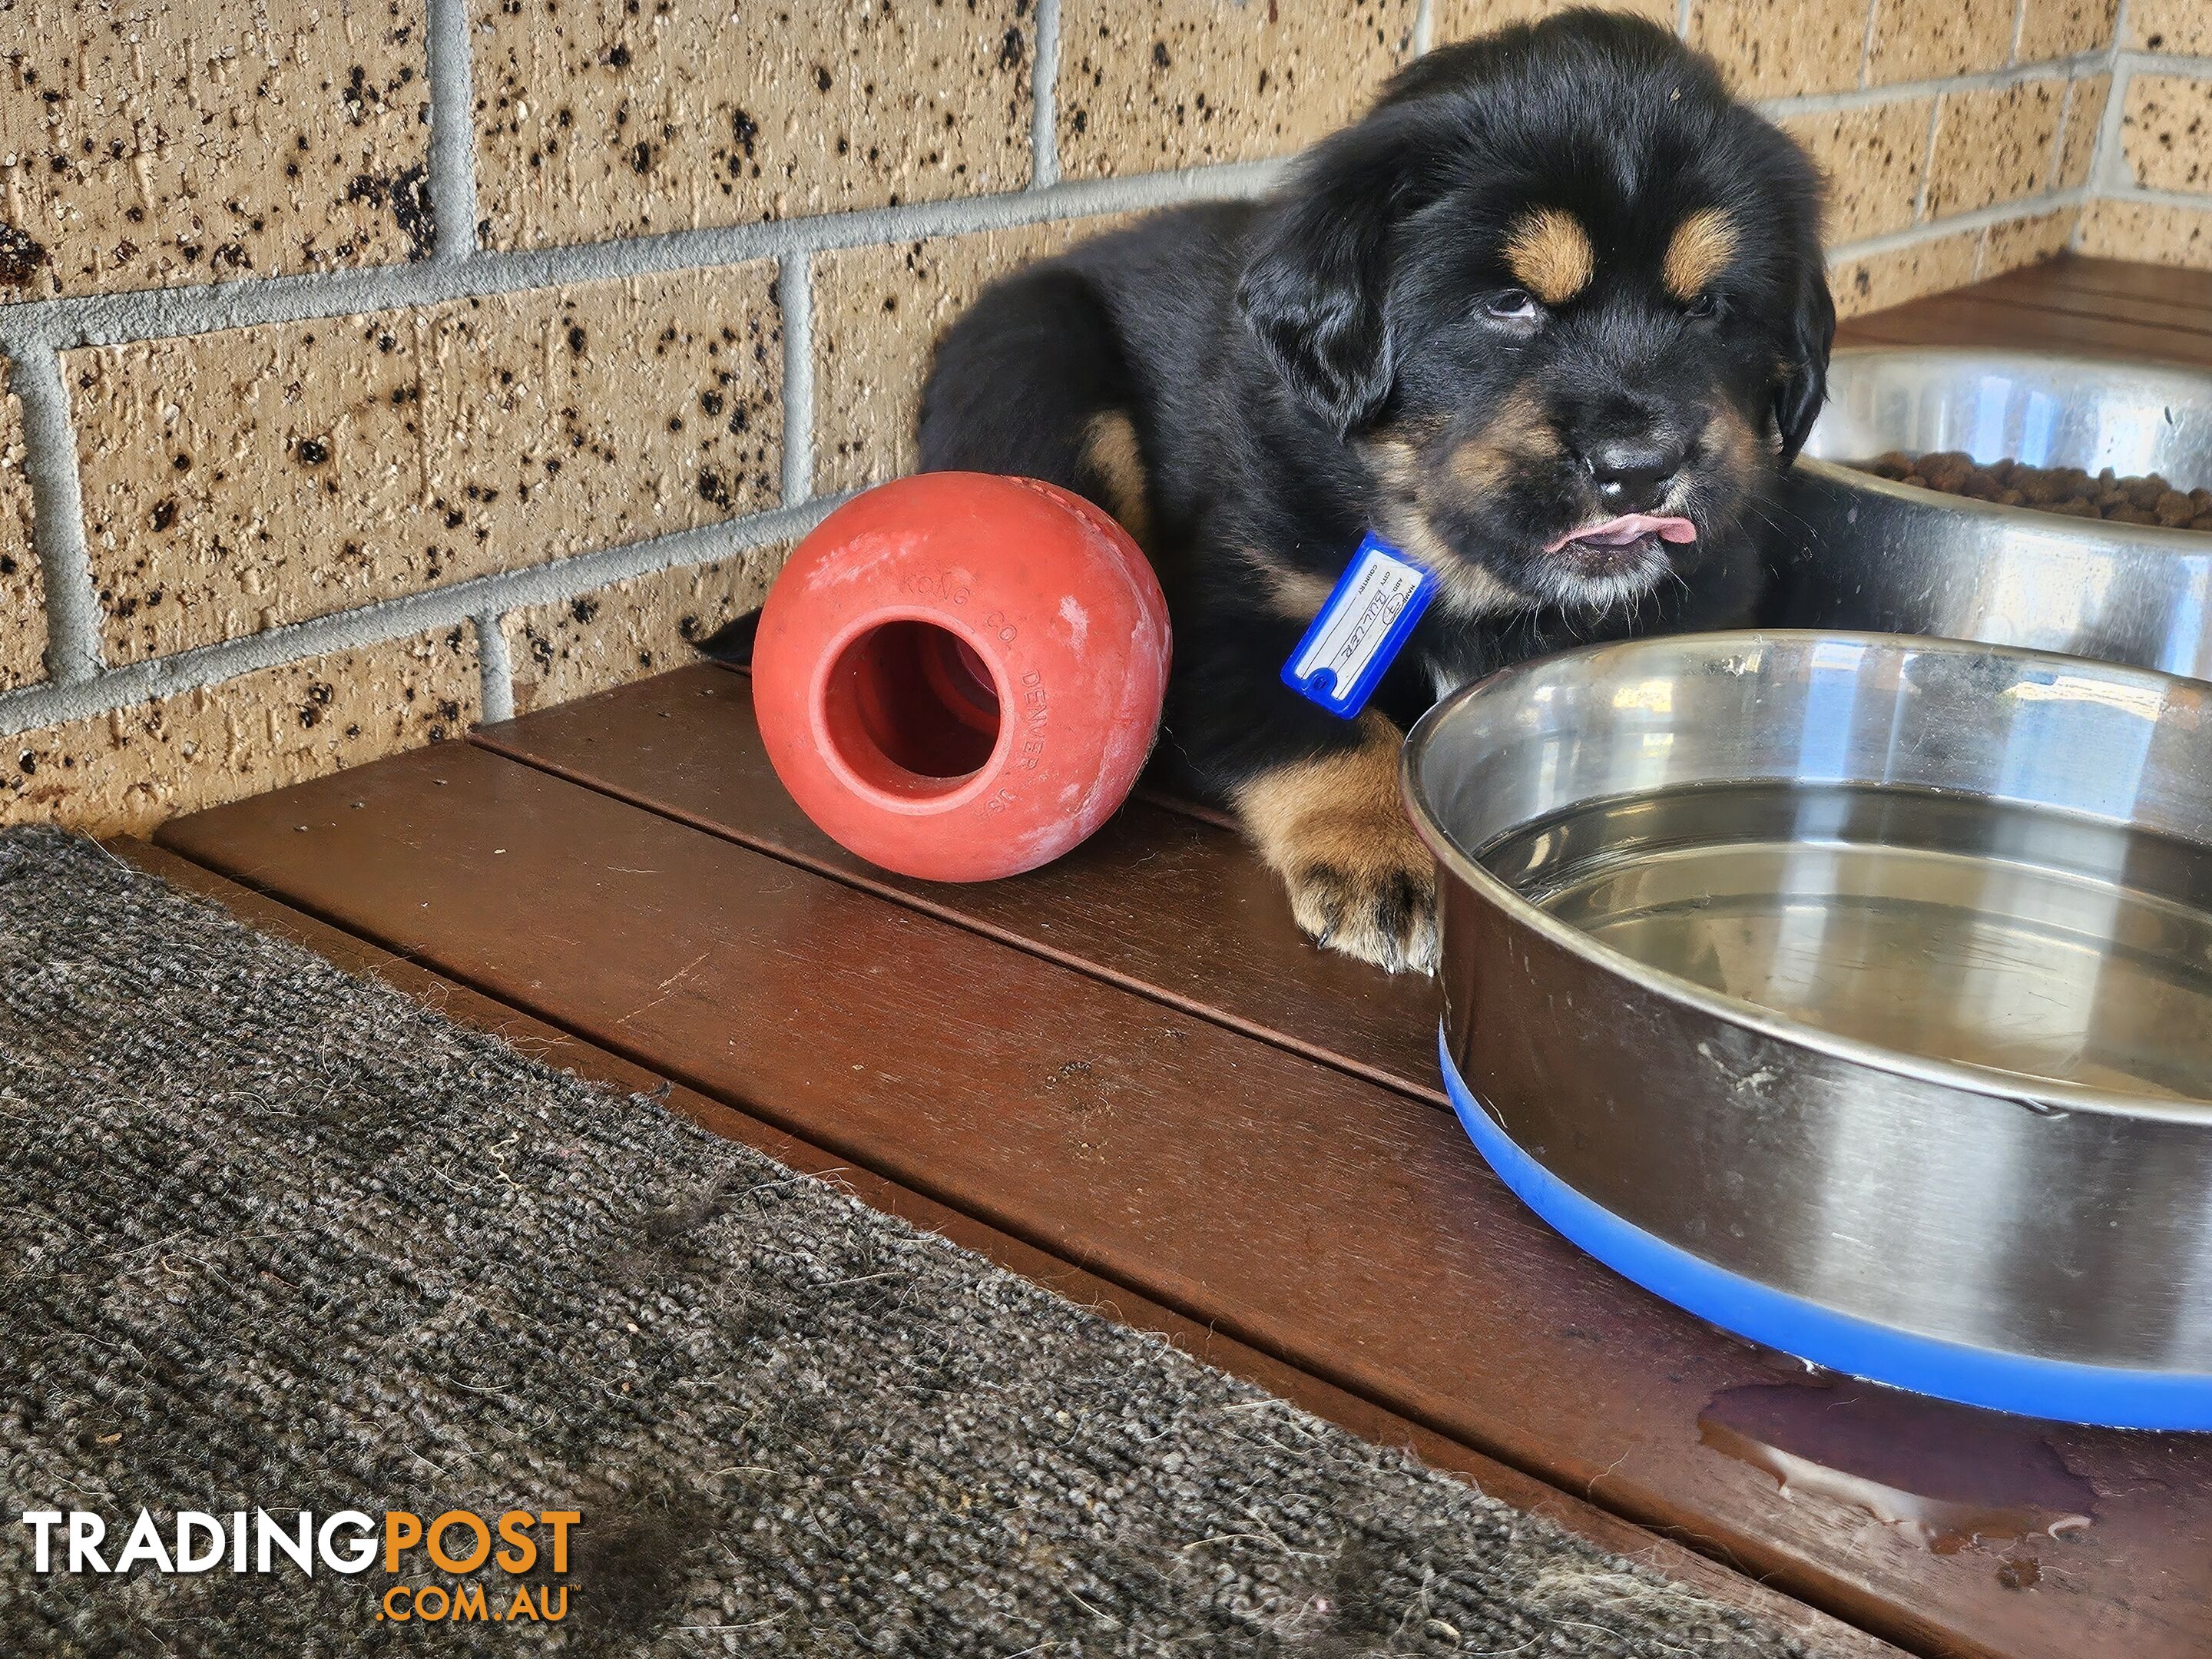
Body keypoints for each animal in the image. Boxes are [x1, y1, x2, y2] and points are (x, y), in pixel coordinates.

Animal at [916, 9, 1831, 973]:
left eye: (1710, 308)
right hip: (1042, 366)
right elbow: (1334, 730)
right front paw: (1384, 860)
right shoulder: (1234, 614)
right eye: (1508, 303)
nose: (1642, 465)